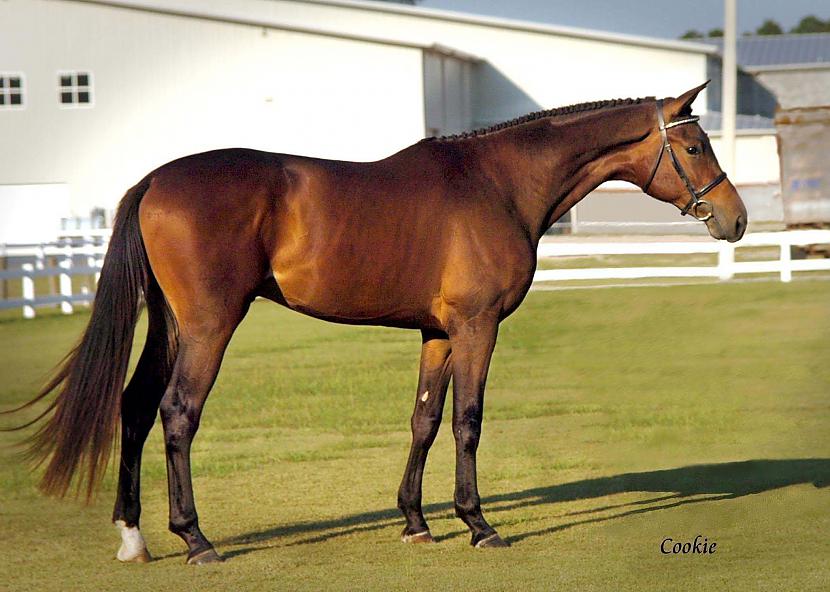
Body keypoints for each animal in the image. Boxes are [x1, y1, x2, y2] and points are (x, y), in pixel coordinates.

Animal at [13, 82, 748, 564]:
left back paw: (134, 536)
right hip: (209, 325)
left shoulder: (439, 333)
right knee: (176, 413)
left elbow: (424, 419)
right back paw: (195, 539)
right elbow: (468, 421)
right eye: (693, 144)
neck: (498, 183)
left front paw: (416, 521)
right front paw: (478, 524)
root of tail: (155, 182)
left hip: (169, 324)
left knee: (135, 408)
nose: (735, 219)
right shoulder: (478, 327)